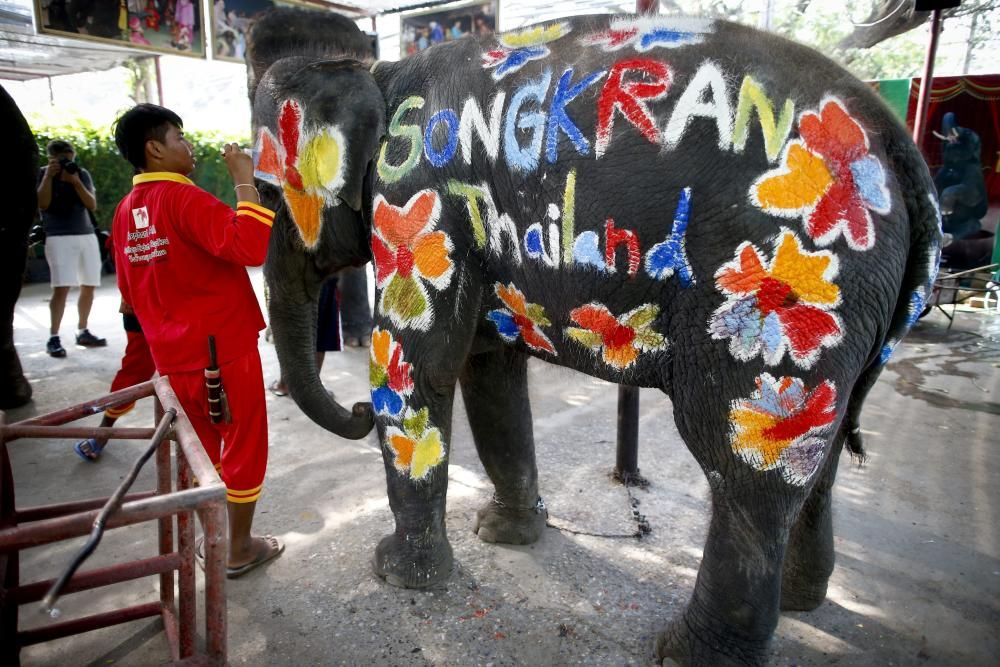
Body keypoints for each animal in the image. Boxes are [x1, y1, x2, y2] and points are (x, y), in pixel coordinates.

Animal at [248, 11, 936, 667]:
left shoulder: (422, 195)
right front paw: (504, 534)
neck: (376, 70)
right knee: (820, 456)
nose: (356, 413)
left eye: (264, 191)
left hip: (795, 288)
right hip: (861, 320)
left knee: (744, 467)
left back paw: (688, 654)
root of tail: (897, 145)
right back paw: (803, 603)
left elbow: (419, 364)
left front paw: (397, 574)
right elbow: (489, 370)